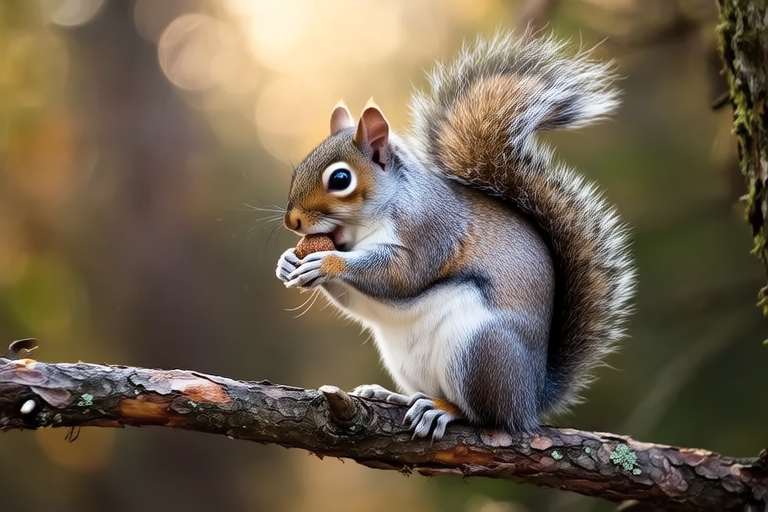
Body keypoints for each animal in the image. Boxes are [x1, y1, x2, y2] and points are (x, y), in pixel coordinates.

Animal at [276, 33, 635, 440]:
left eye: (340, 179)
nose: (292, 222)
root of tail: (530, 399)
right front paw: (288, 261)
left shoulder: (430, 230)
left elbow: (401, 276)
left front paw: (326, 262)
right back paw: (394, 395)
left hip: (478, 350)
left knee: (484, 415)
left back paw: (442, 410)